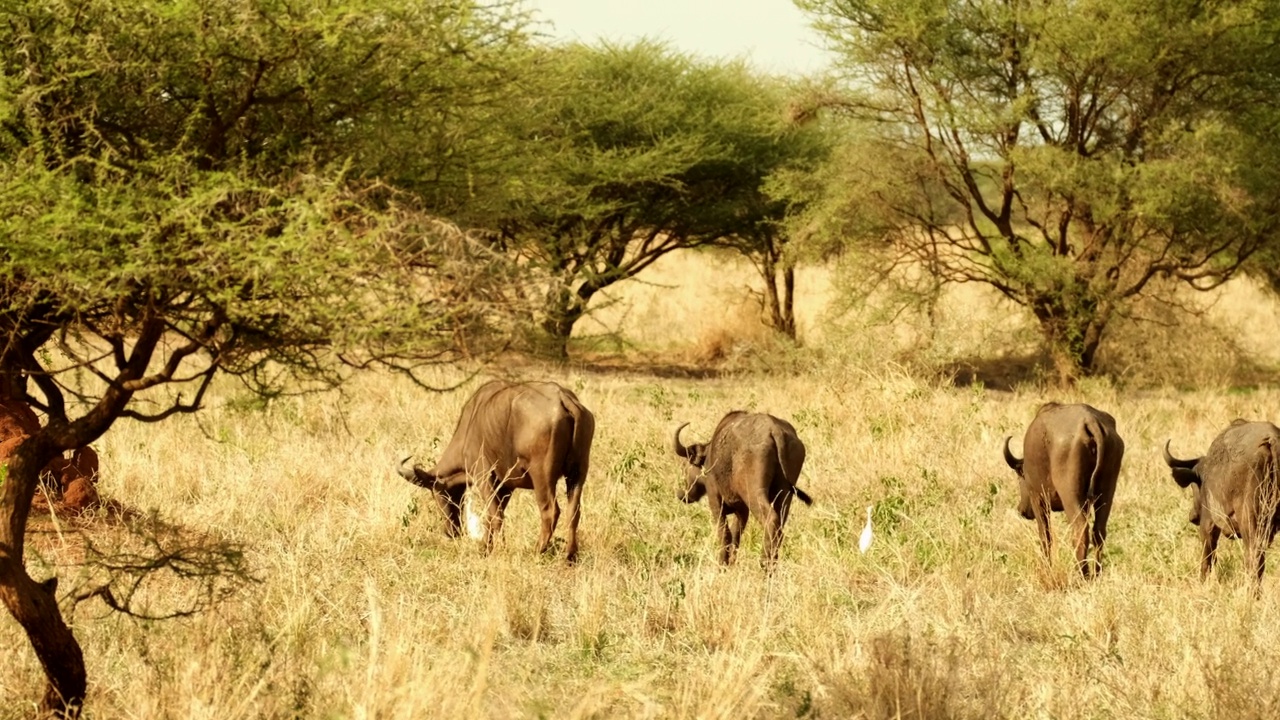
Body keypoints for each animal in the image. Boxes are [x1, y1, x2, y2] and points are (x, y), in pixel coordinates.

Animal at [394, 379, 593, 563]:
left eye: (439, 494)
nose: (452, 532)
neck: (471, 423)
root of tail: (562, 398)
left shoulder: (483, 476)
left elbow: (494, 515)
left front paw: (496, 549)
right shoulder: (505, 487)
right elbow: (494, 514)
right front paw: (485, 549)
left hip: (542, 477)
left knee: (550, 511)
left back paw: (537, 551)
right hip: (577, 474)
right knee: (574, 511)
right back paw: (570, 556)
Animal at [670, 409, 808, 566]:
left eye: (686, 466)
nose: (683, 494)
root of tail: (775, 430)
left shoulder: (716, 501)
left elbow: (724, 534)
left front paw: (722, 564)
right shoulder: (741, 510)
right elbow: (736, 535)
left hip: (754, 494)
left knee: (771, 520)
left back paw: (764, 563)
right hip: (784, 495)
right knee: (779, 526)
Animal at [998, 399, 1121, 573]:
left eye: (1020, 476)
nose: (1022, 510)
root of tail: (1090, 421)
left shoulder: (1038, 498)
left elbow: (1045, 536)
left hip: (1070, 495)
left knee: (1080, 530)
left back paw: (1082, 573)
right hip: (1106, 492)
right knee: (1099, 531)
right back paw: (1096, 573)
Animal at [1162, 417, 1280, 586]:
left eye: (1194, 486)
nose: (1193, 516)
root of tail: (1272, 441)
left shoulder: (1208, 523)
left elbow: (1207, 558)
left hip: (1250, 524)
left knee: (1254, 561)